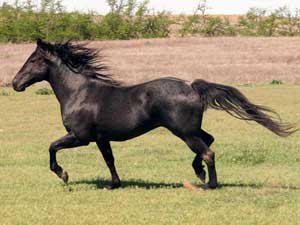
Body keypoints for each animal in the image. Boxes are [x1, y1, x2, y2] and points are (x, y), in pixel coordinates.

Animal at [12, 39, 298, 190]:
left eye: (33, 61)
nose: (15, 83)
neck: (80, 92)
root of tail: (191, 86)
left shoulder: (80, 137)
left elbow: (52, 147)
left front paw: (63, 174)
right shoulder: (101, 138)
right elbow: (109, 160)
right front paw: (114, 184)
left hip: (183, 132)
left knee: (208, 151)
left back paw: (209, 184)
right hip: (190, 130)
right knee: (209, 141)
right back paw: (199, 174)